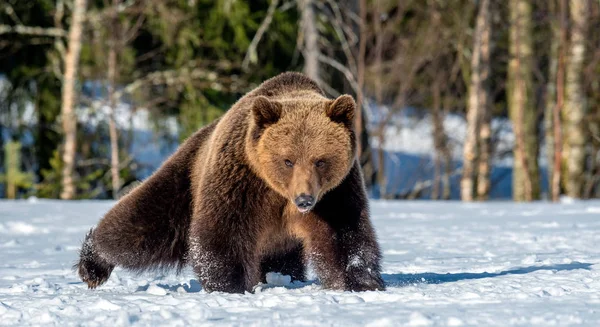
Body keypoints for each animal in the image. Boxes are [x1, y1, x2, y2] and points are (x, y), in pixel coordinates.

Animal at [77, 72, 384, 294]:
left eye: (320, 160)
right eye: (288, 160)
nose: (305, 200)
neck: (278, 191)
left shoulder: (336, 192)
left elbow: (345, 234)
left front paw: (362, 282)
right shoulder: (242, 179)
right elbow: (222, 233)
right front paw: (231, 286)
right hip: (186, 179)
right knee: (142, 225)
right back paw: (92, 264)